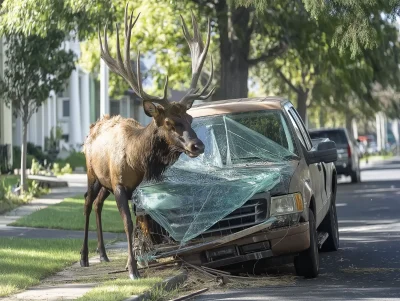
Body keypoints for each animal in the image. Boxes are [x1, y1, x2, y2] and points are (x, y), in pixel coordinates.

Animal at [79, 2, 214, 278]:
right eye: (170, 123)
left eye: (190, 118)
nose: (198, 145)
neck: (136, 160)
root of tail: (92, 128)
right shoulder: (119, 184)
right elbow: (128, 224)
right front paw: (132, 269)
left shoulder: (135, 187)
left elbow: (141, 223)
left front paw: (138, 262)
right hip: (92, 173)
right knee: (87, 202)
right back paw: (84, 257)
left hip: (104, 182)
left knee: (97, 204)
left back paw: (103, 254)